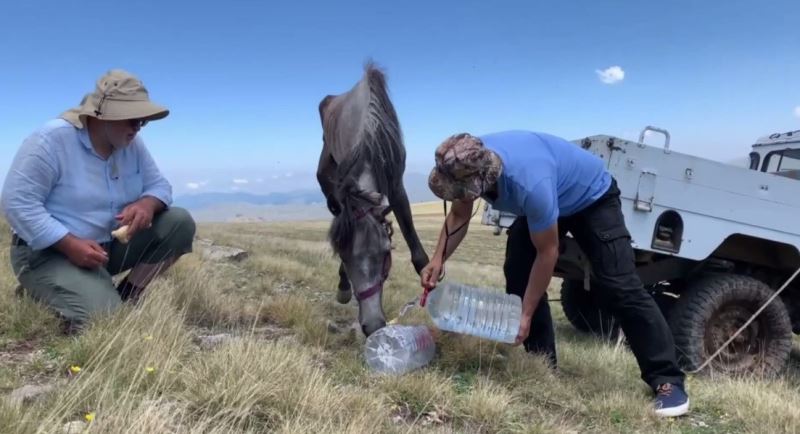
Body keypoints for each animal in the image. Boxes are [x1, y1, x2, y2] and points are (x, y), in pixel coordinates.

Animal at [318, 62, 432, 338]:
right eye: (343, 256)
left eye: (385, 252)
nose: (373, 325)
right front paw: (343, 286)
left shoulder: (397, 185)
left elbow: (416, 249)